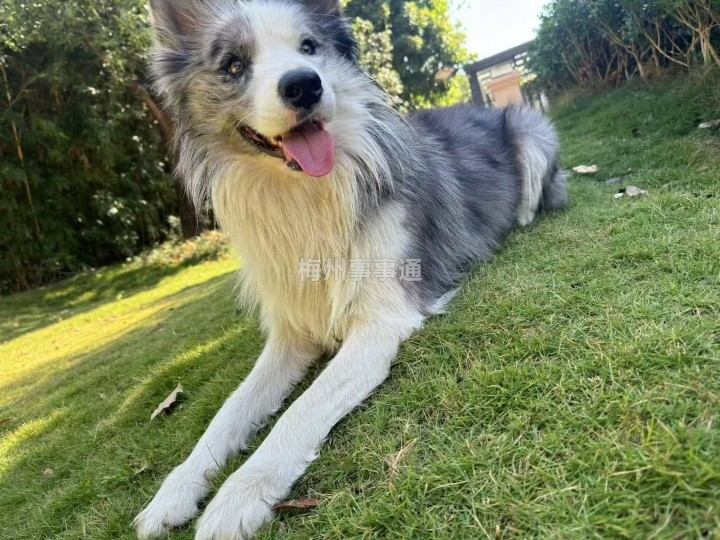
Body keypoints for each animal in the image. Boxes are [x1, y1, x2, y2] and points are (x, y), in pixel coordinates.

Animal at [134, 0, 568, 538]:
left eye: (308, 46)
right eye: (234, 65)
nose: (305, 85)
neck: (306, 196)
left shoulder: (381, 322)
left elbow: (300, 411)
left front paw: (237, 496)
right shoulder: (290, 335)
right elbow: (229, 411)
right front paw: (174, 491)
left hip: (531, 127)